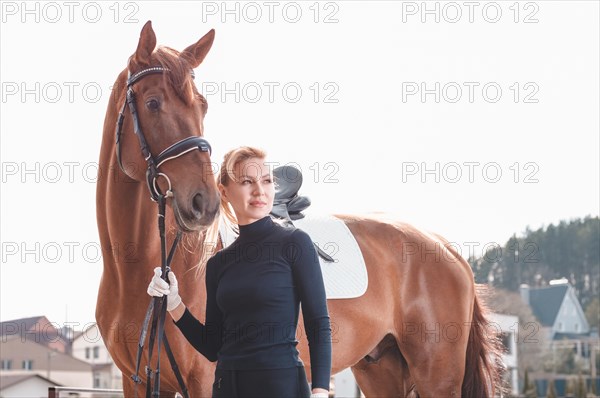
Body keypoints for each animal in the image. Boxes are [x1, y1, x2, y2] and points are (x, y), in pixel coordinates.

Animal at [96, 21, 504, 398]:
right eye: (153, 103)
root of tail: (447, 249)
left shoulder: (206, 380)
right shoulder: (138, 383)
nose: (204, 203)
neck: (135, 267)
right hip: (382, 369)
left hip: (436, 376)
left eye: (203, 106)